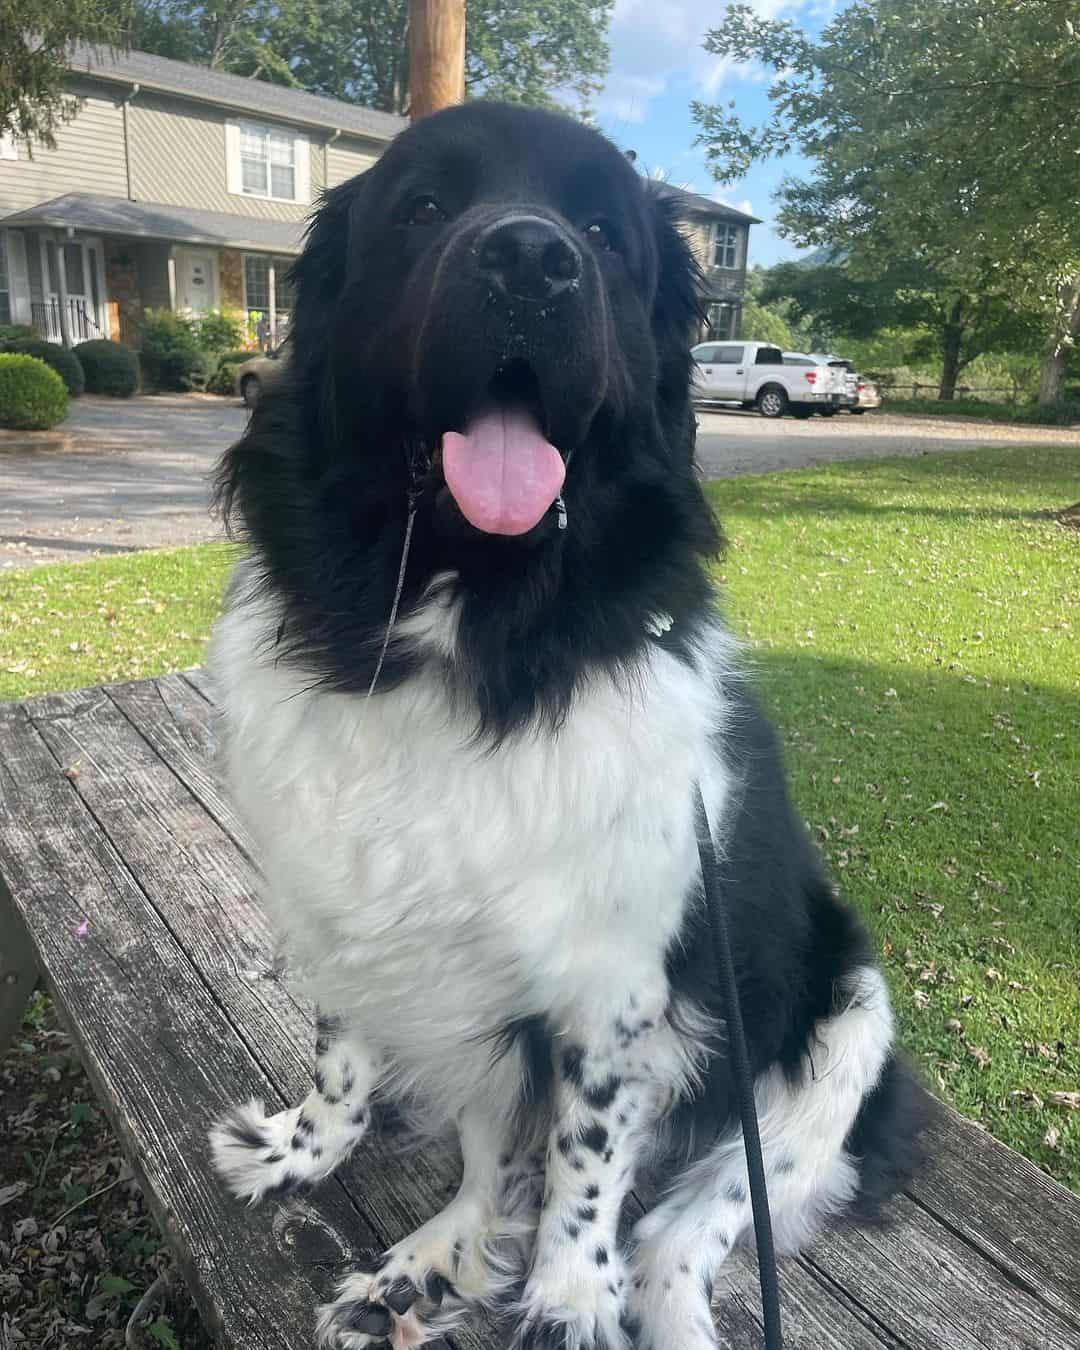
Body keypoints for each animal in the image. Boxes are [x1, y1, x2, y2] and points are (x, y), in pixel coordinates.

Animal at [206, 99, 923, 1344]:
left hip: (845, 1024)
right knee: (495, 1153)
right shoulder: (351, 910)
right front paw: (302, 1152)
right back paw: (423, 1265)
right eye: (422, 207)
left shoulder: (616, 982)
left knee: (682, 1230)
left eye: (602, 232)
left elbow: (587, 1157)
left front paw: (568, 1295)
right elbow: (346, 1057)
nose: (532, 259)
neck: (478, 631)